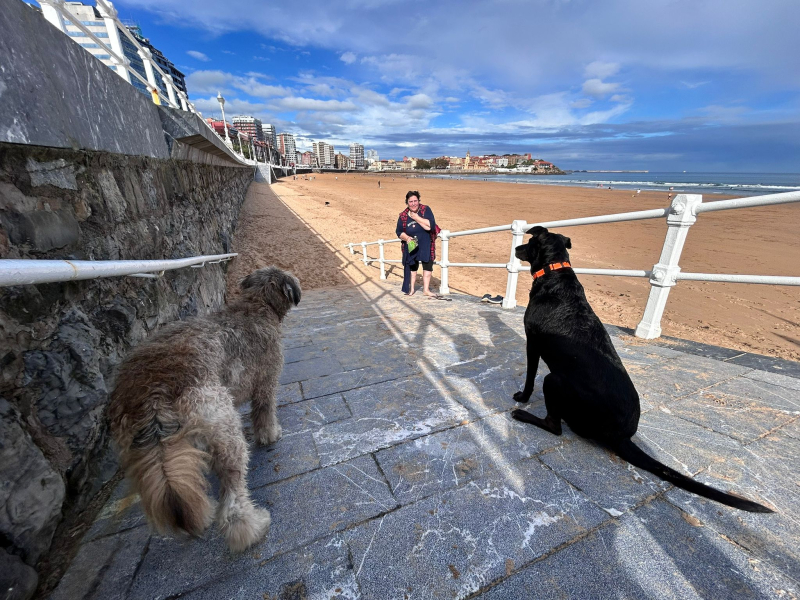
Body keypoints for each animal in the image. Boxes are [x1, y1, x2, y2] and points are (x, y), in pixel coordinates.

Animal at [108, 268, 302, 552]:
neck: (256, 304)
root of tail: (154, 388)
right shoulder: (266, 382)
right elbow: (264, 413)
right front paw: (271, 435)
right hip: (224, 426)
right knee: (232, 499)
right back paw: (251, 529)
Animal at [510, 227, 772, 512]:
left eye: (530, 241)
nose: (515, 249)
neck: (554, 271)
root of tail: (622, 436)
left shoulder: (532, 342)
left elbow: (529, 377)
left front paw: (522, 398)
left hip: (553, 381)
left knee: (554, 425)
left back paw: (522, 416)